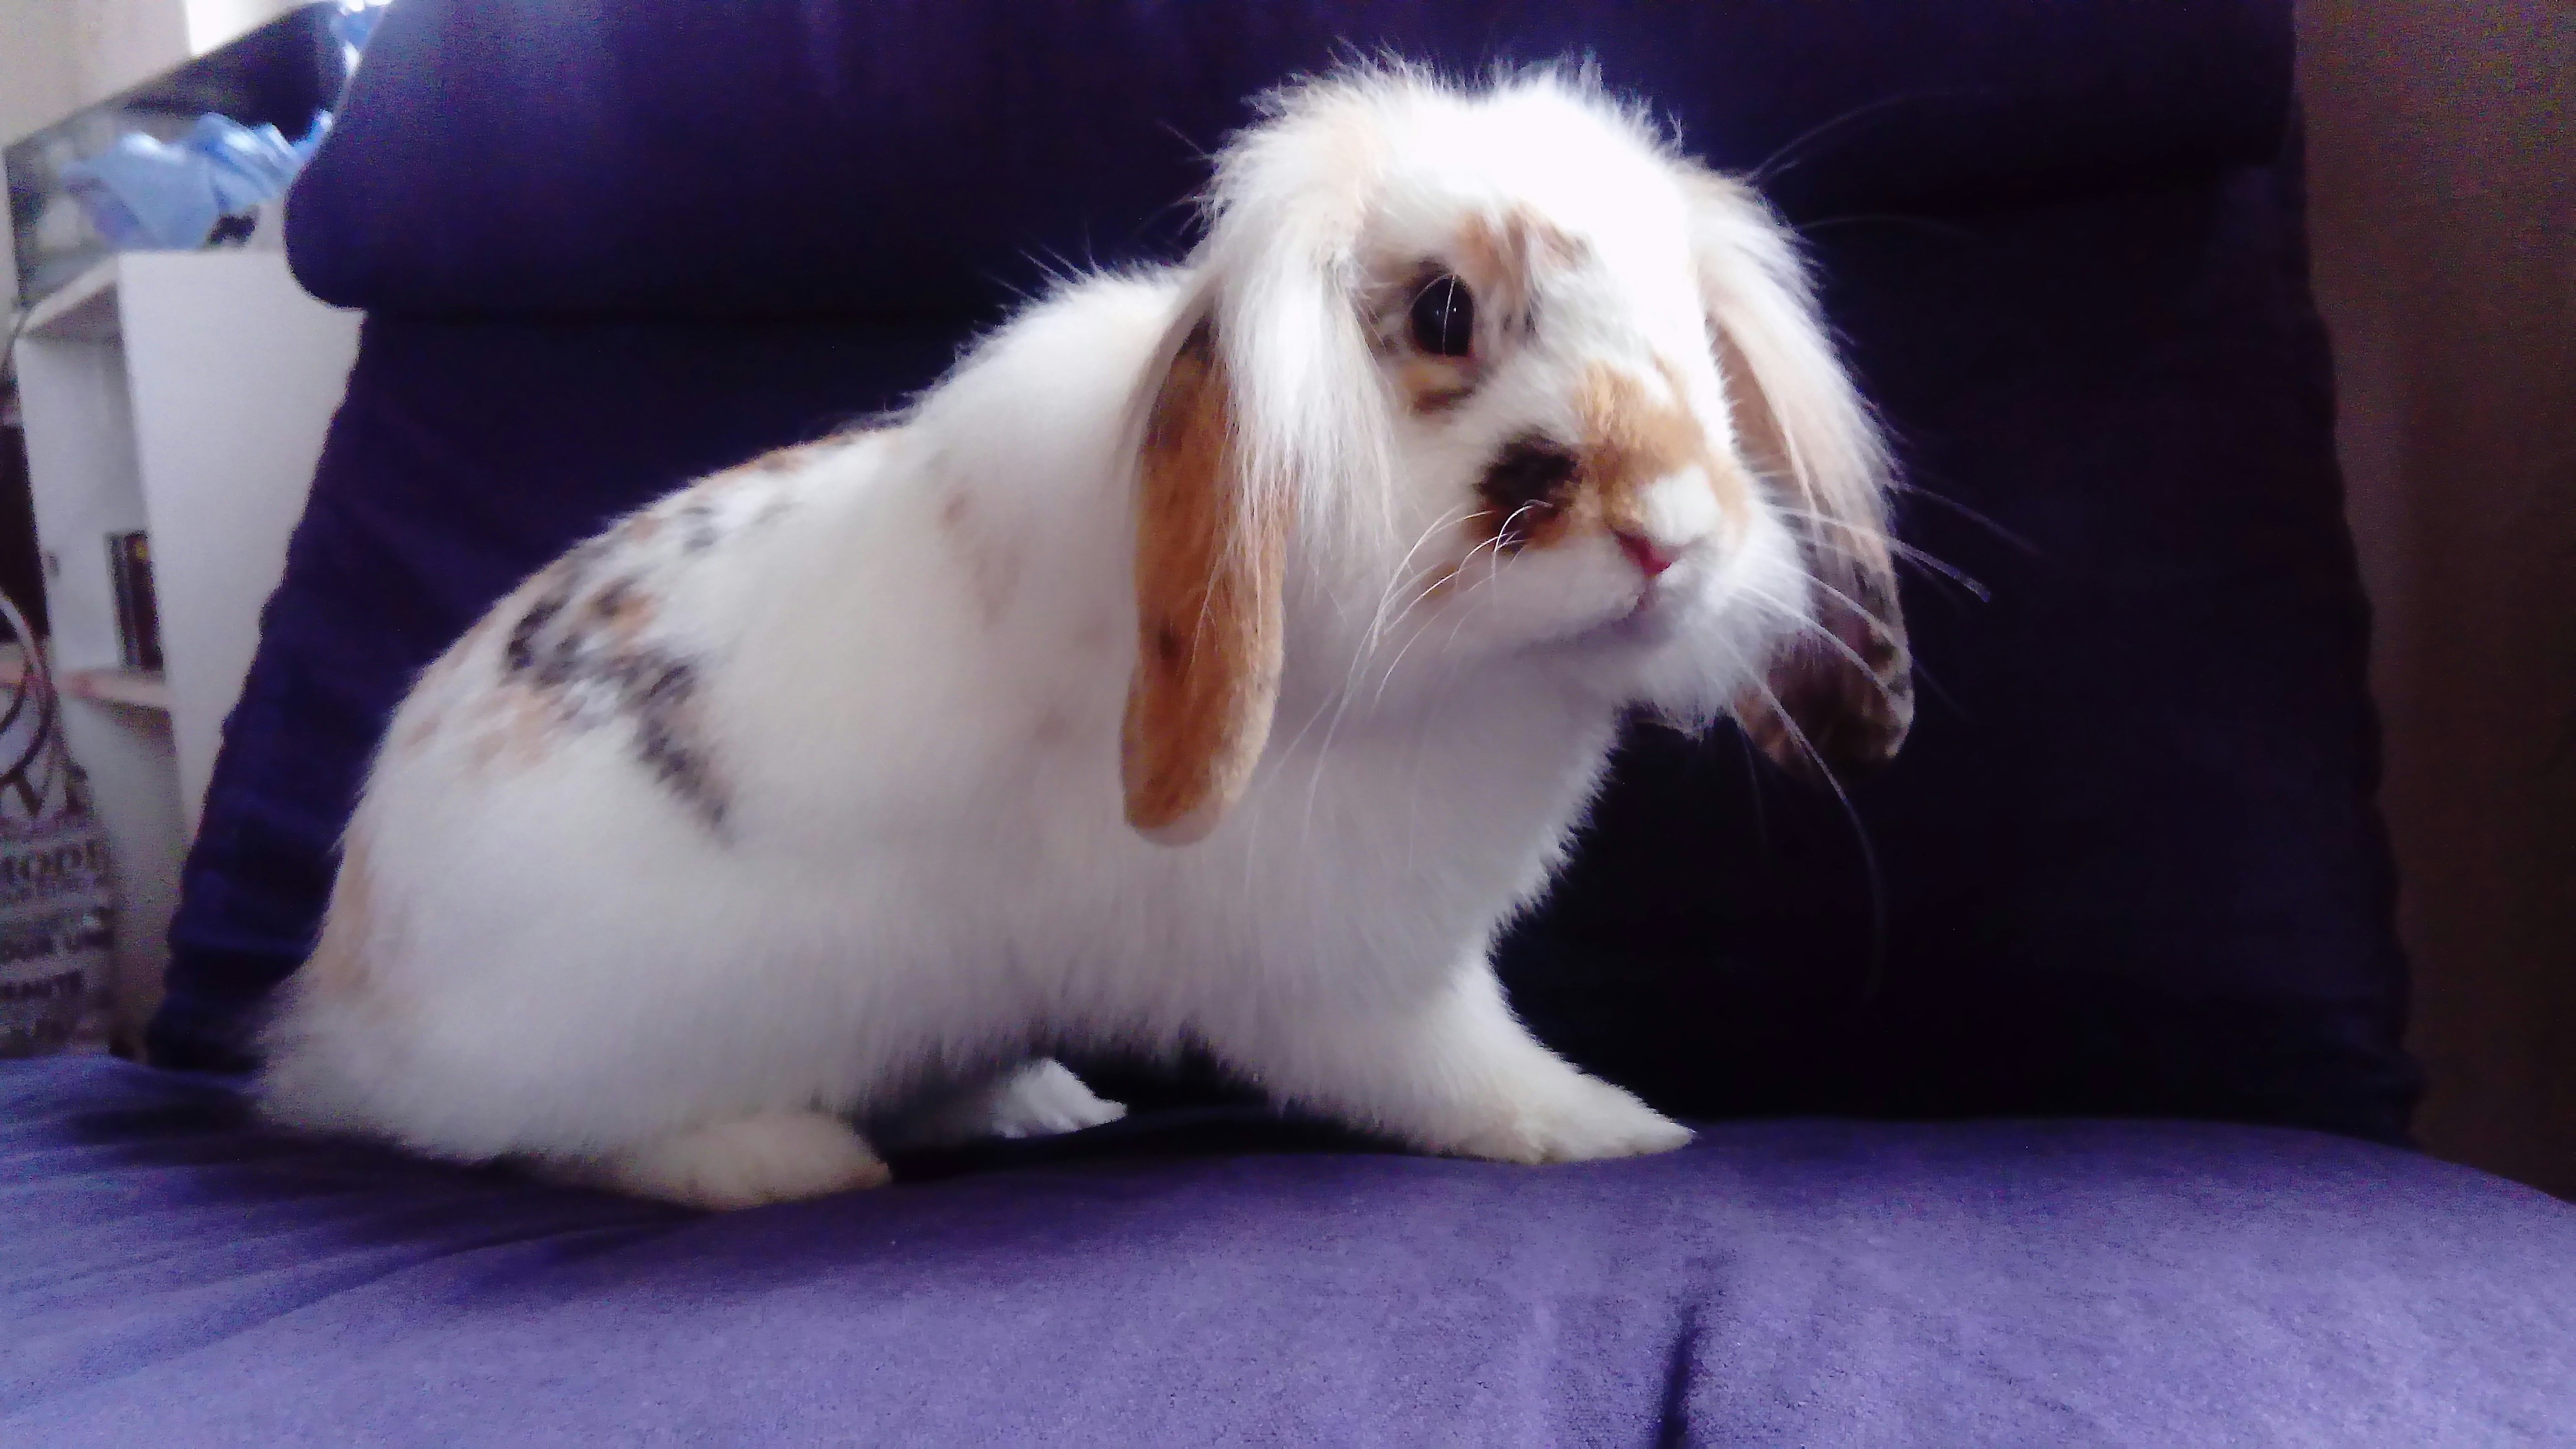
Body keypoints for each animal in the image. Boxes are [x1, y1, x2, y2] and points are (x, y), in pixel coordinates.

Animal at [257, 64, 1911, 1211]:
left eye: (1693, 333)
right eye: (1444, 311)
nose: (1670, 533)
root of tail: (351, 980)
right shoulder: (1349, 975)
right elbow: (1452, 1070)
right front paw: (1605, 1125)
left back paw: (1027, 1101)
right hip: (618, 1025)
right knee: (533, 1134)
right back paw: (775, 1159)